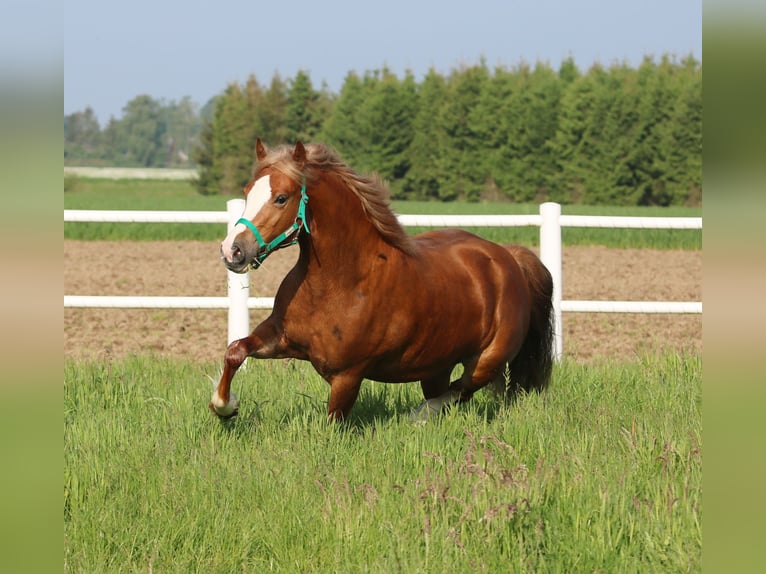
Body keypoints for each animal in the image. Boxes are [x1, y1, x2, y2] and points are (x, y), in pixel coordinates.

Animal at [213, 140, 556, 424]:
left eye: (282, 198)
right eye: (247, 192)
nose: (233, 250)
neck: (340, 282)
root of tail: (508, 258)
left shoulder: (347, 376)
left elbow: (332, 425)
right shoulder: (280, 338)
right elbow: (235, 350)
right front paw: (226, 407)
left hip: (488, 359)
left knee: (462, 390)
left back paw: (417, 416)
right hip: (436, 364)